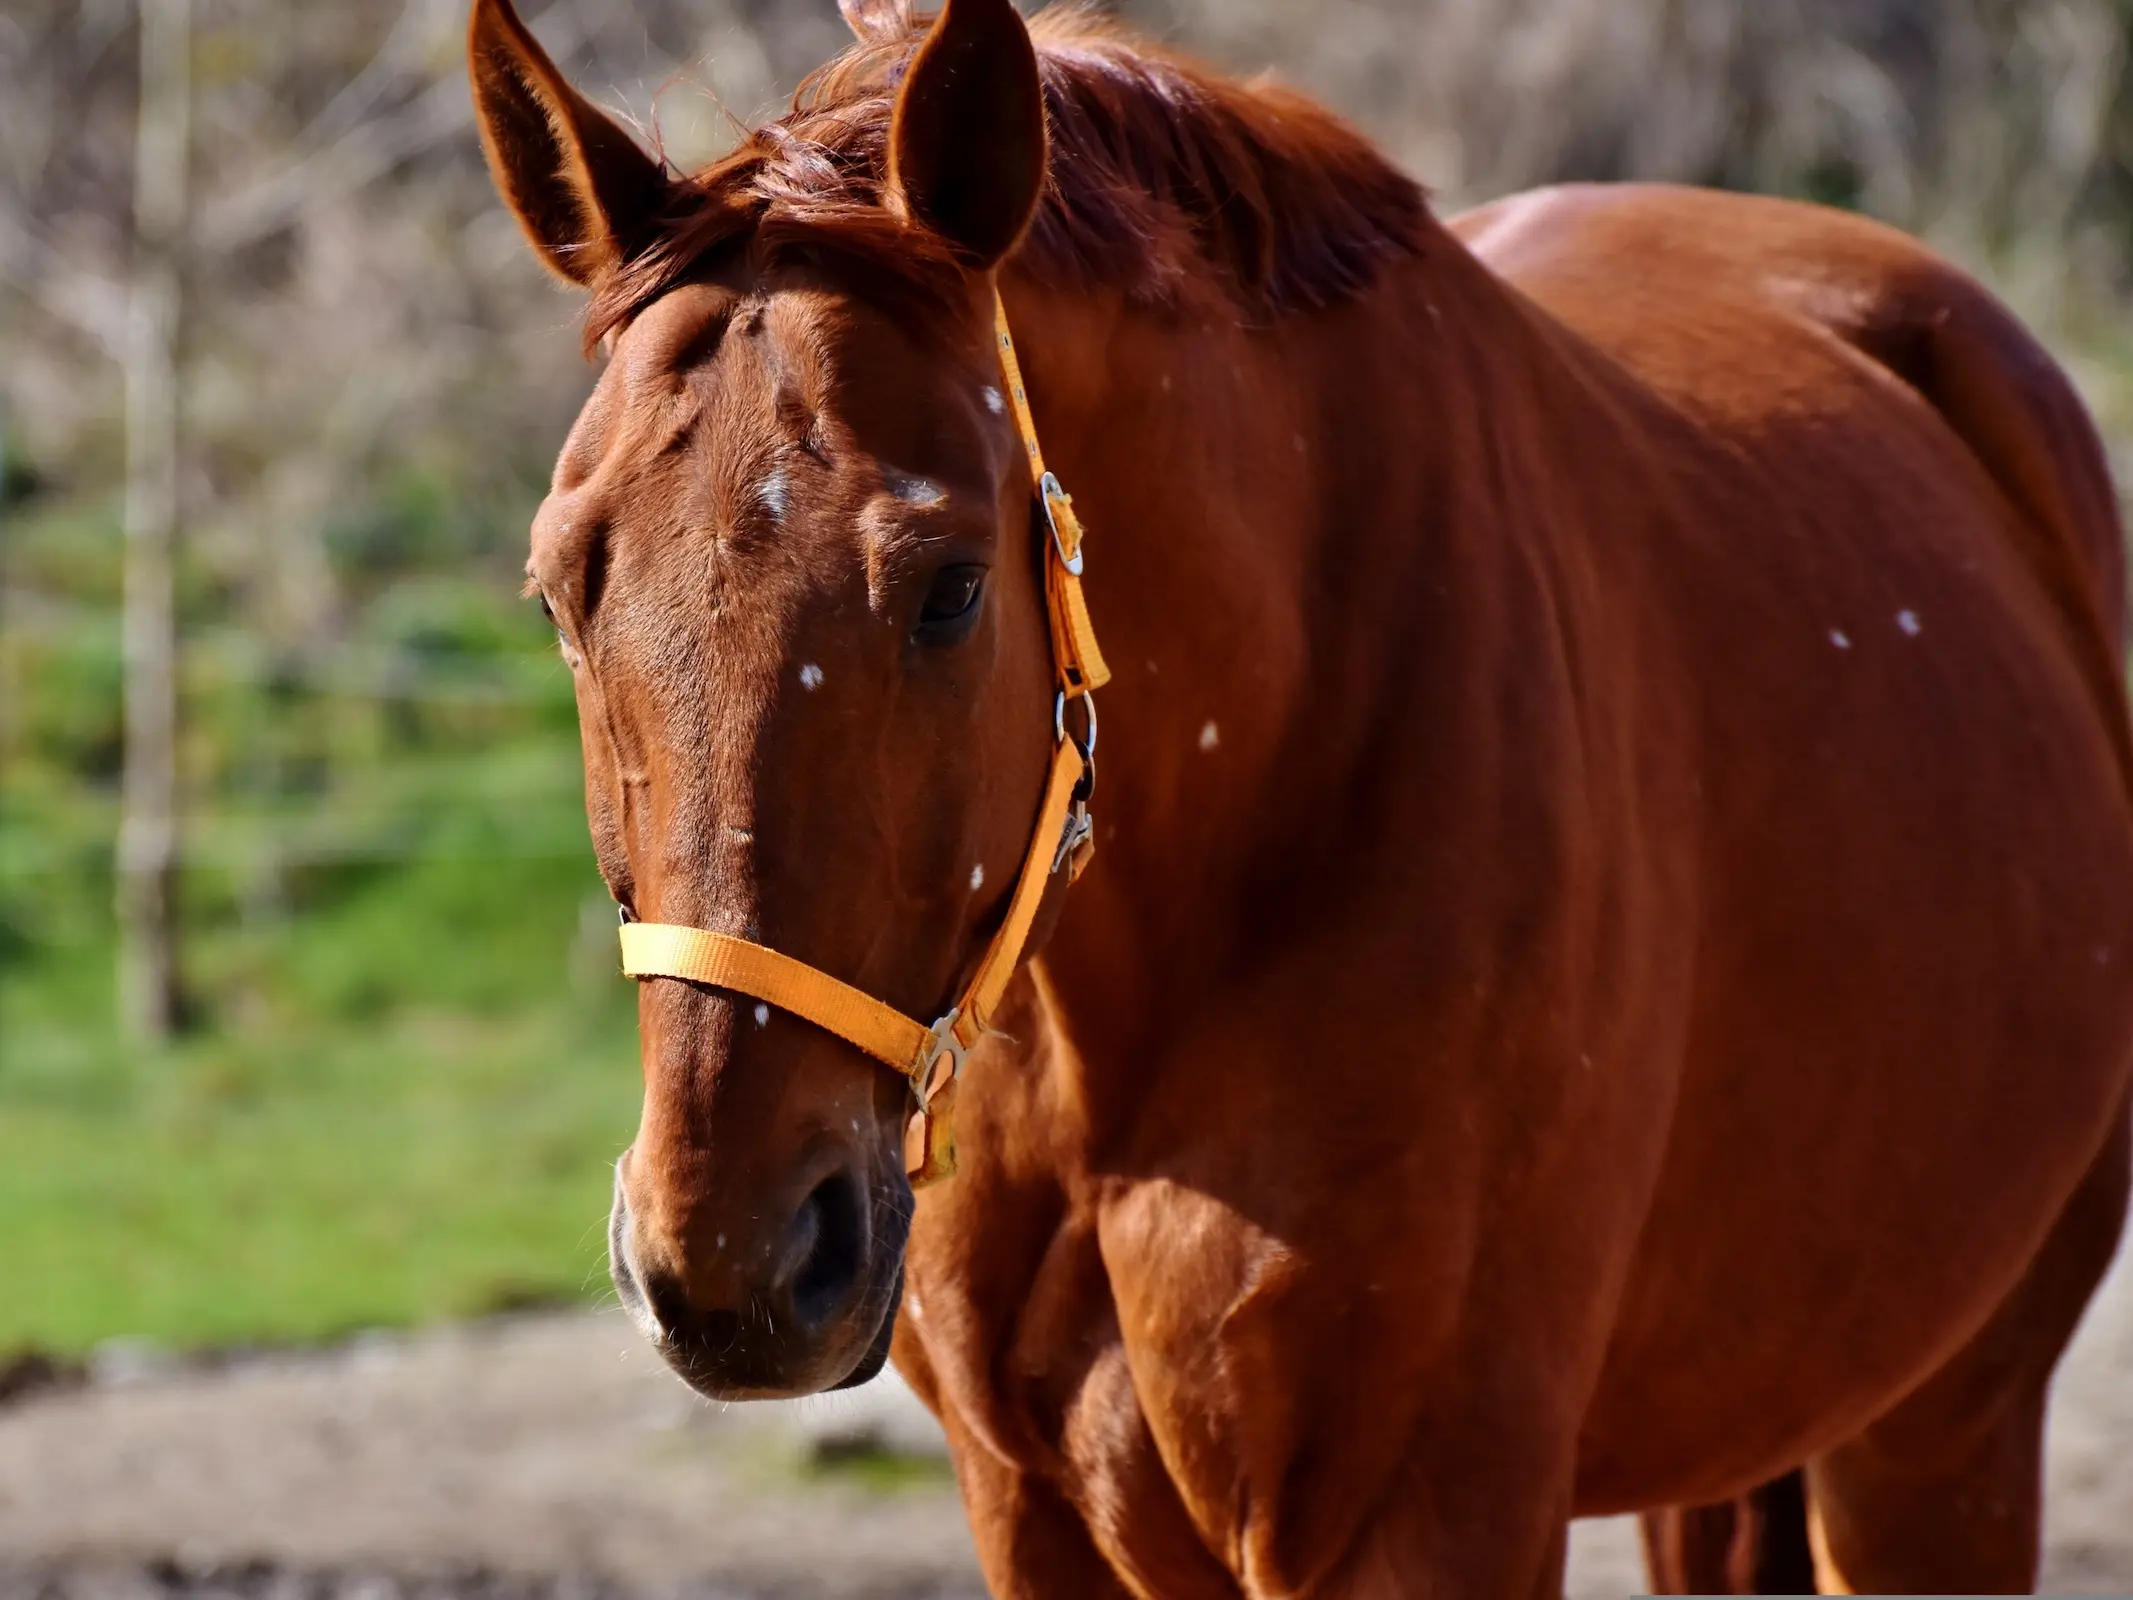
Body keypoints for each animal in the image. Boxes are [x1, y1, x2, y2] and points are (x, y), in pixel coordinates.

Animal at [467, 0, 2133, 1595]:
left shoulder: (1427, 1515)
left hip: (1940, 1438)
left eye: (948, 589)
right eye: (560, 594)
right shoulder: (1034, 1515)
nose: (733, 1260)